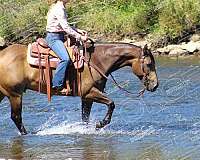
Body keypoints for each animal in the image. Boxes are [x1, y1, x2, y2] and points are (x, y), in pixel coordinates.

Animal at [0, 40, 159, 134]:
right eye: (149, 64)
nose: (155, 85)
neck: (97, 61)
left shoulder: (87, 97)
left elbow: (85, 117)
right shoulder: (90, 92)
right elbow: (112, 104)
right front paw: (100, 124)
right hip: (15, 95)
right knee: (16, 117)